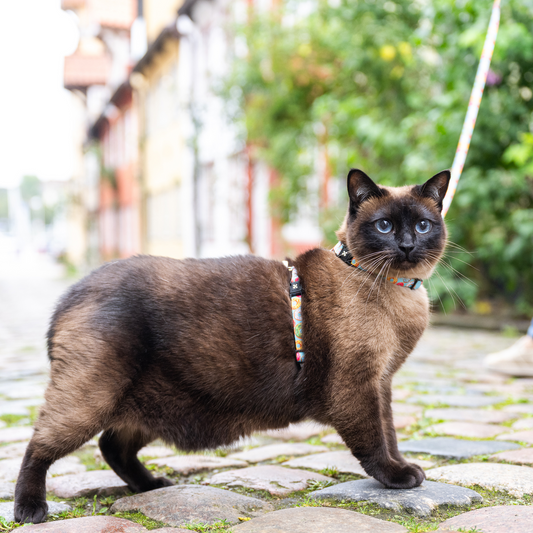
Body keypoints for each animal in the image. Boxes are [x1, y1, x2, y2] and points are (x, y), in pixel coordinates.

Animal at [13, 168, 448, 520]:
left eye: (423, 226)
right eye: (385, 226)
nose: (407, 245)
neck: (396, 293)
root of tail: (69, 295)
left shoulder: (382, 383)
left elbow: (390, 433)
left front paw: (405, 467)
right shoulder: (358, 386)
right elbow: (374, 442)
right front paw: (398, 477)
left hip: (147, 406)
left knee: (112, 446)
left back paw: (152, 485)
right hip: (92, 398)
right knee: (39, 447)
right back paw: (30, 510)